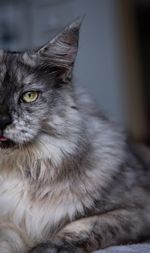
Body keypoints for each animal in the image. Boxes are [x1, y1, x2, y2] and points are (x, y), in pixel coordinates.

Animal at [0, 19, 150, 253]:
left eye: (29, 96)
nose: (2, 121)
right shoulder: (8, 225)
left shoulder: (136, 209)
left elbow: (81, 227)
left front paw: (45, 248)